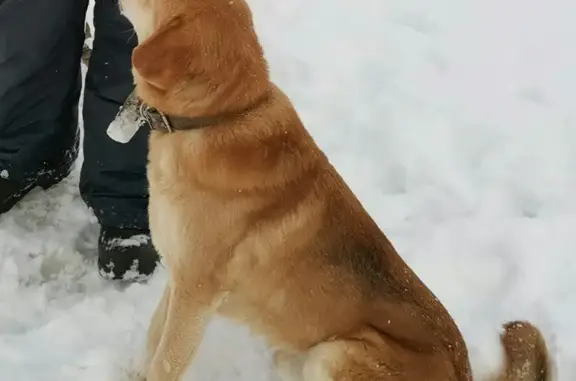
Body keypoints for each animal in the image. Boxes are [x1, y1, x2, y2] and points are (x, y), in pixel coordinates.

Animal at [117, 0, 552, 380]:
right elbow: (153, 336)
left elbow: (166, 360)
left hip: (336, 353)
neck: (221, 116)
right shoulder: (179, 278)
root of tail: (463, 371)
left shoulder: (197, 292)